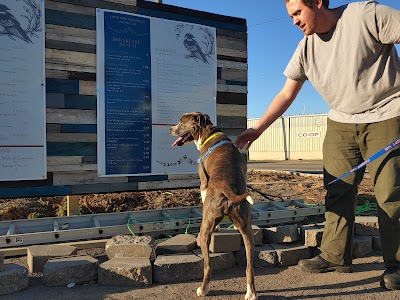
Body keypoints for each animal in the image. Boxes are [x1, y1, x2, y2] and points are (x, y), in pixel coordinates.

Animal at [168, 112, 256, 300]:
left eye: (181, 121)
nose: (170, 129)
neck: (209, 134)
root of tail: (227, 188)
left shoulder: (203, 182)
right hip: (247, 230)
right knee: (249, 266)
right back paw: (251, 293)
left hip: (205, 231)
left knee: (207, 265)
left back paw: (203, 289)